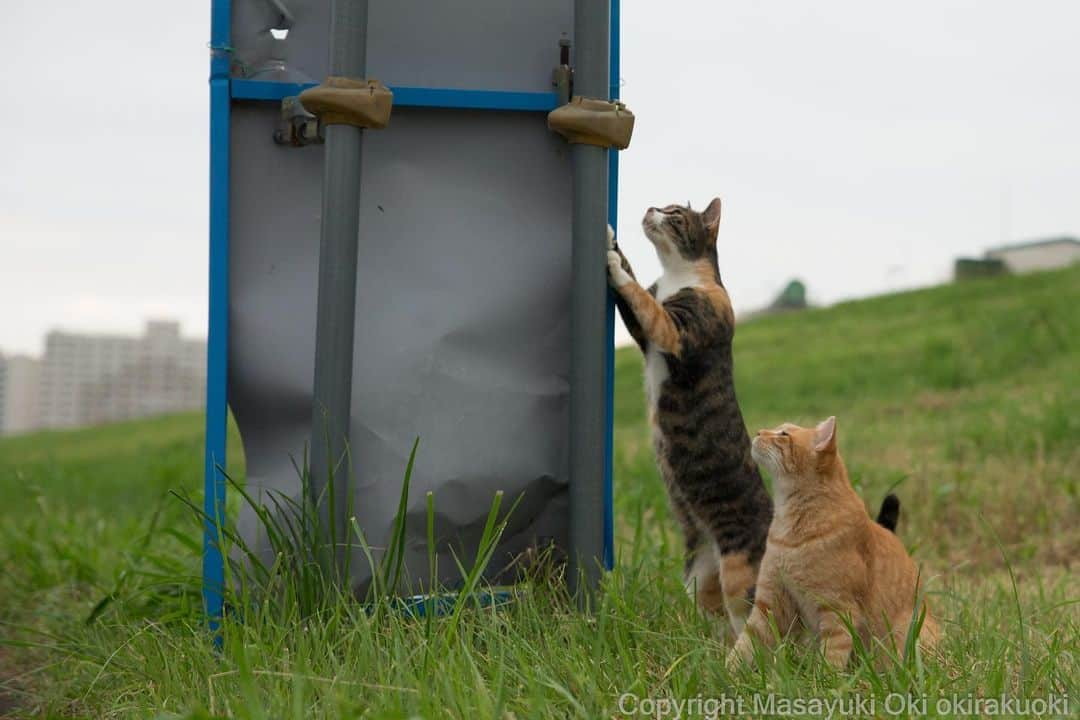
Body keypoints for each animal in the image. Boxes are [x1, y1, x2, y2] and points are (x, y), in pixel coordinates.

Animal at [609, 199, 777, 634]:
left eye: (675, 213)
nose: (651, 207)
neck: (677, 274)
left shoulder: (673, 330)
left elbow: (638, 295)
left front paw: (610, 258)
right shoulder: (644, 333)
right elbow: (637, 293)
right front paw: (614, 247)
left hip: (739, 573)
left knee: (753, 620)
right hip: (700, 576)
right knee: (714, 617)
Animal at [725, 416, 937, 669]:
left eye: (783, 434)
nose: (758, 432)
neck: (789, 533)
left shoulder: (837, 610)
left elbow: (831, 659)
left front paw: (824, 678)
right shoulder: (770, 604)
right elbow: (745, 645)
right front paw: (725, 671)